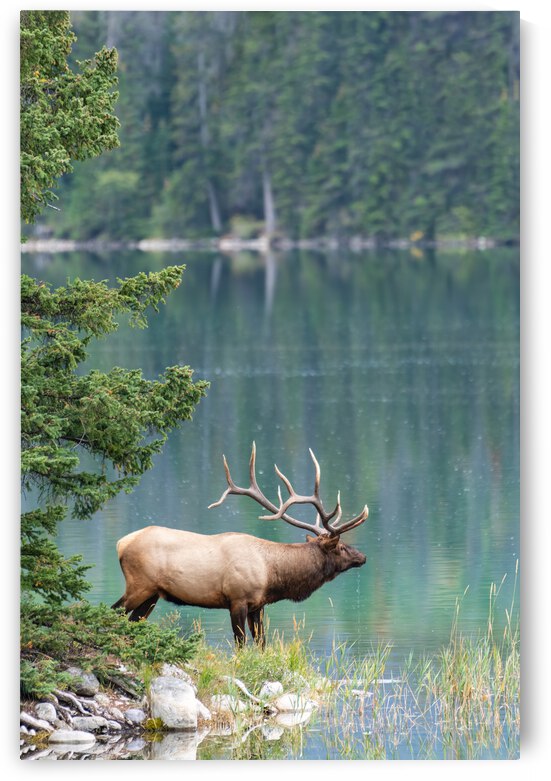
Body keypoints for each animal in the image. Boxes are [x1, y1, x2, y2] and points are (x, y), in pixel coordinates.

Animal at [112, 444, 369, 646]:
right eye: (341, 546)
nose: (363, 556)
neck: (271, 574)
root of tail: (121, 543)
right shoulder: (237, 599)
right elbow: (241, 643)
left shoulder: (258, 605)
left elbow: (262, 643)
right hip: (139, 585)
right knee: (114, 611)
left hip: (152, 594)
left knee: (132, 621)